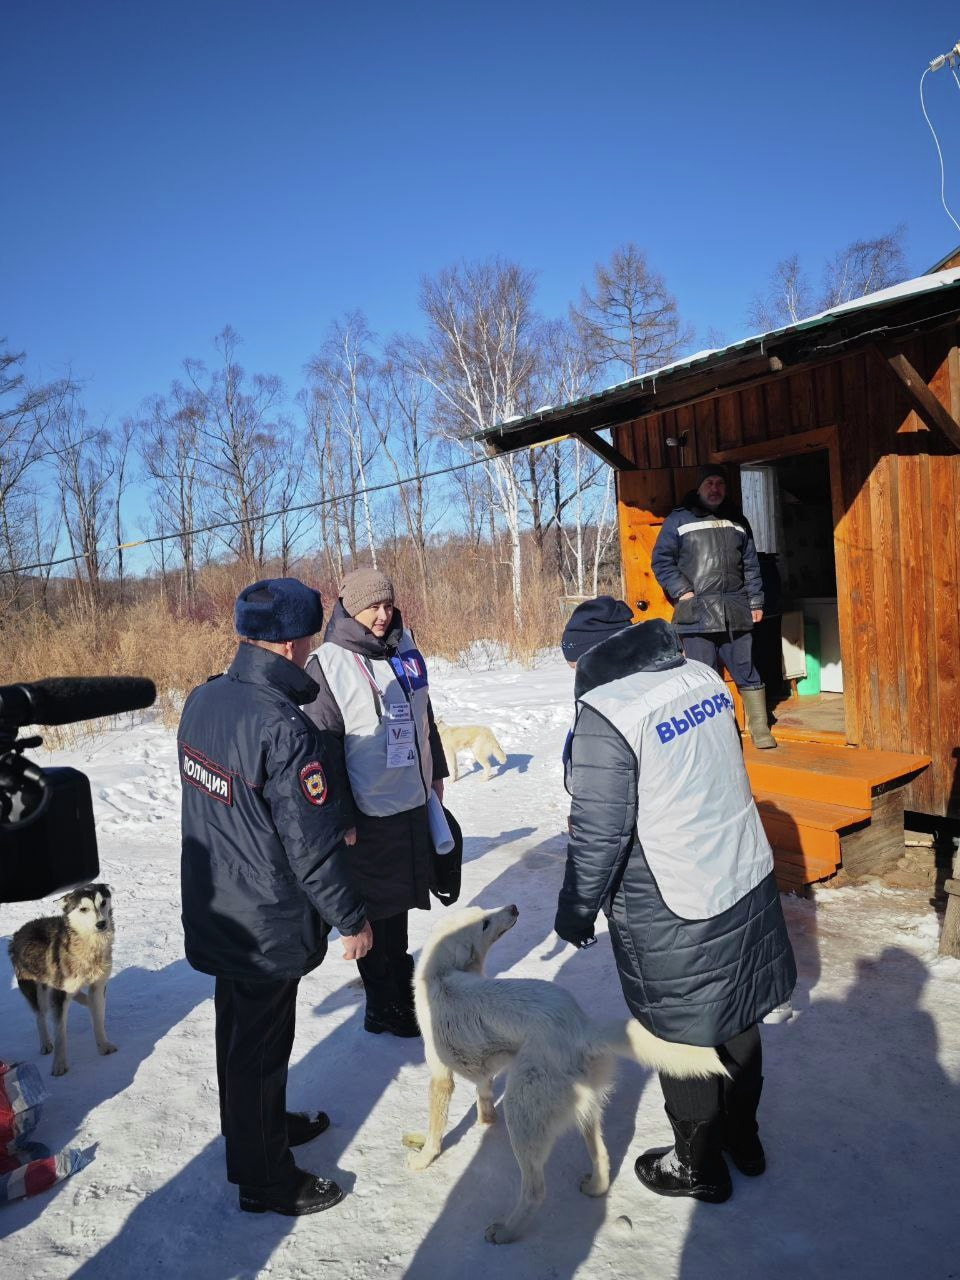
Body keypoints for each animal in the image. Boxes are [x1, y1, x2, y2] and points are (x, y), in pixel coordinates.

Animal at [7, 880, 116, 1070]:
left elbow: (98, 1020)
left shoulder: (98, 985)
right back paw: (45, 1043)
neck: (88, 946)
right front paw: (59, 1064)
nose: (102, 924)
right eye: (83, 909)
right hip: (36, 990)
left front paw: (103, 1046)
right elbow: (60, 1034)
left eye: (103, 903)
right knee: (41, 1016)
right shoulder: (59, 995)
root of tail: (18, 933)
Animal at [401, 901, 727, 1239]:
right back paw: (595, 1187)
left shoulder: (440, 1077)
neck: (442, 974)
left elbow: (435, 1129)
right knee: (602, 1155)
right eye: (484, 921)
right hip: (584, 1109)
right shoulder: (482, 1065)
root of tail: (582, 1029)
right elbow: (484, 1089)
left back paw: (506, 1232)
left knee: (535, 1191)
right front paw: (485, 1118)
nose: (514, 907)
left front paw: (424, 1159)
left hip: (522, 1113)